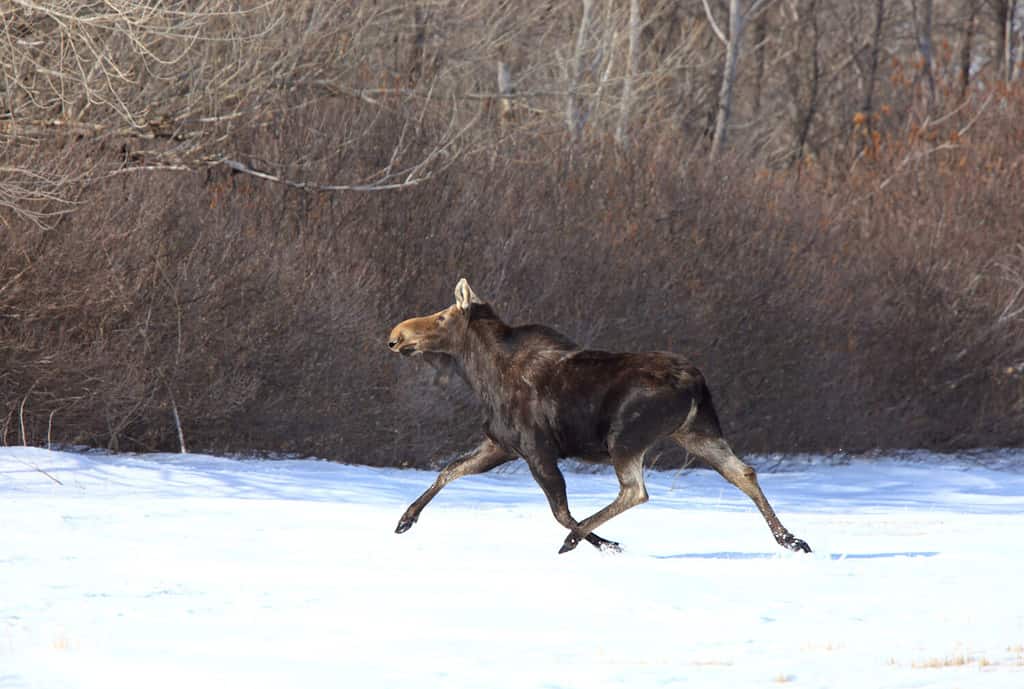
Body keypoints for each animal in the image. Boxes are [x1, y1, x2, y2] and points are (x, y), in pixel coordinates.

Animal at [387, 278, 811, 552]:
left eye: (442, 317)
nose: (396, 335)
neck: (481, 375)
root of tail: (695, 383)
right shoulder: (500, 444)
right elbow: (449, 470)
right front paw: (405, 519)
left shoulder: (536, 449)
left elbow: (560, 511)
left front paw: (599, 542)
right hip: (697, 432)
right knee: (743, 473)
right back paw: (790, 539)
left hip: (625, 437)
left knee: (636, 490)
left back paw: (576, 540)